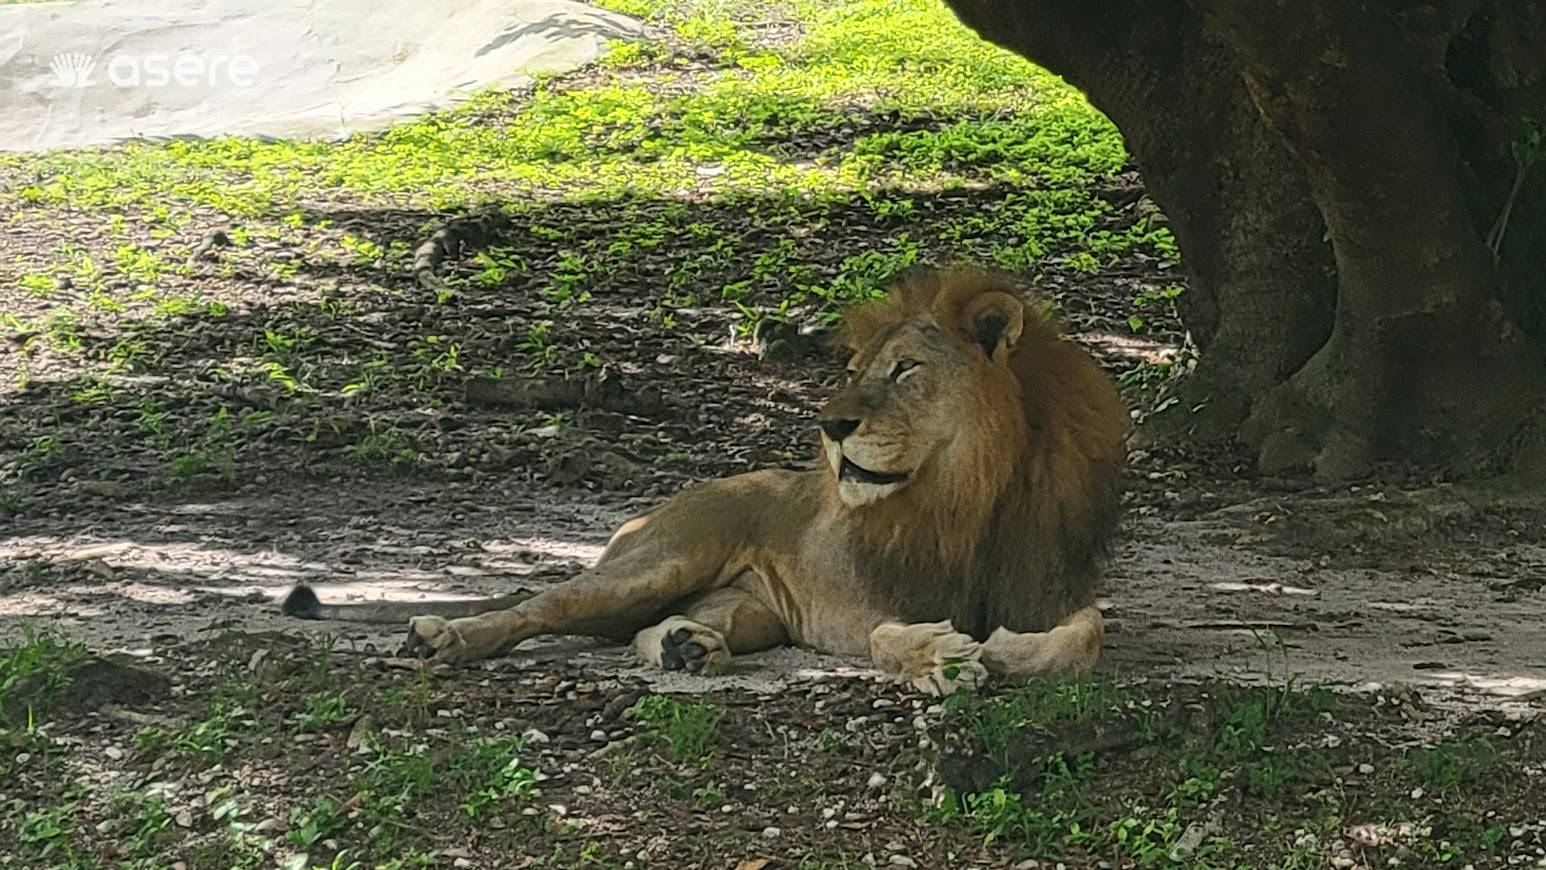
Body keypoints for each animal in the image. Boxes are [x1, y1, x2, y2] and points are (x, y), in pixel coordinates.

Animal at [283, 266, 1128, 694]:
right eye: (853, 371)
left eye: (904, 371)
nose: (830, 427)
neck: (972, 493)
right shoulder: (870, 602)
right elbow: (887, 637)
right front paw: (943, 658)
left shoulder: (1053, 586)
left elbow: (1083, 640)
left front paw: (1002, 650)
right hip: (663, 559)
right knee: (541, 606)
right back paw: (443, 638)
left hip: (750, 610)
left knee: (648, 629)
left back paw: (685, 649)